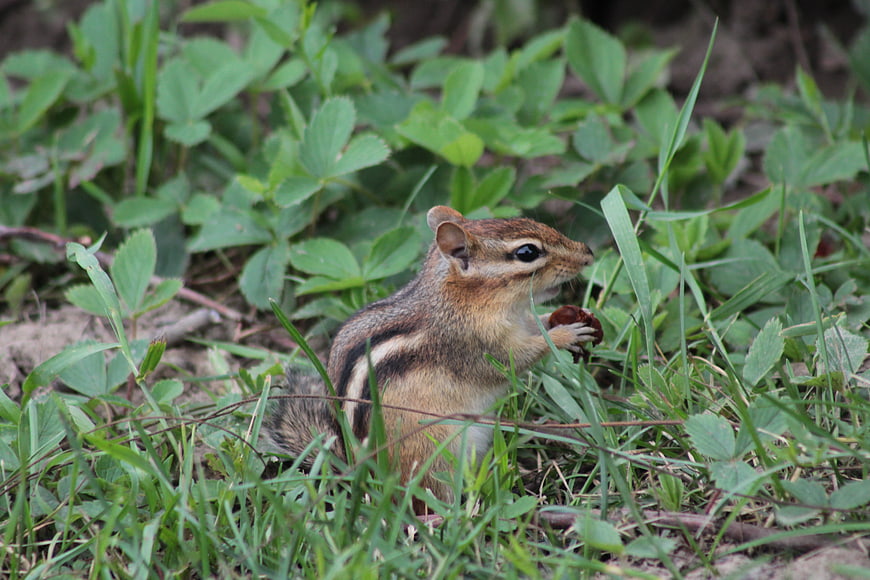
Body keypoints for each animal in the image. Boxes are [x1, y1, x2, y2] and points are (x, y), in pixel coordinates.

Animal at [264, 205, 596, 509]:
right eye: (527, 252)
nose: (588, 253)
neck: (459, 296)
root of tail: (361, 474)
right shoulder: (475, 344)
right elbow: (516, 359)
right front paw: (567, 333)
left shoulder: (519, 322)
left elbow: (535, 325)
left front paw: (566, 318)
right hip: (433, 452)